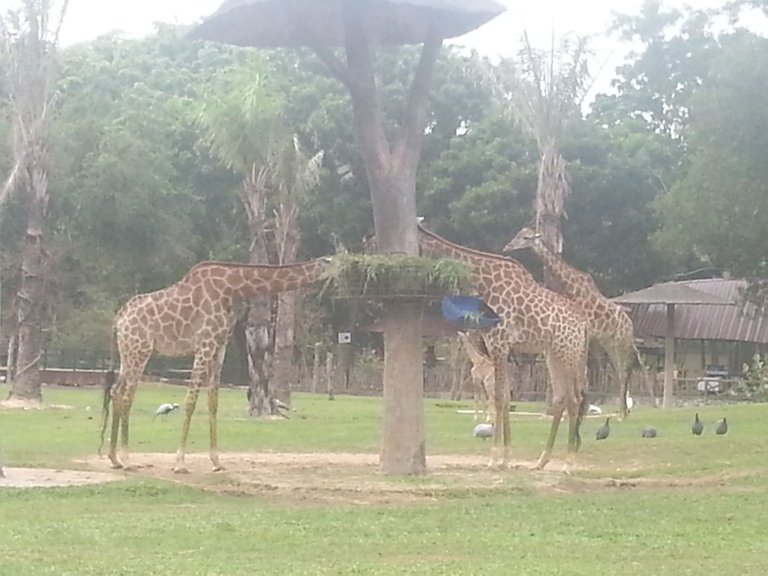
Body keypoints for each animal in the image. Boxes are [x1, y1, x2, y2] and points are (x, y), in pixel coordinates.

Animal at [100, 256, 332, 472]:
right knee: (127, 396)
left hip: (127, 353)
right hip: (140, 350)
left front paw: (217, 461)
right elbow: (191, 401)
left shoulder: (219, 346)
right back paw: (127, 460)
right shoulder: (204, 343)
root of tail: (118, 319)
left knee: (116, 391)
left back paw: (114, 458)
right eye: (333, 263)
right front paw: (180, 463)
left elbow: (213, 402)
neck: (233, 288)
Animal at [420, 223, 588, 470]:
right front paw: (506, 457)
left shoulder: (500, 344)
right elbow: (506, 397)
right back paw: (541, 461)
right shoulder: (497, 346)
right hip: (553, 354)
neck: (486, 282)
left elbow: (499, 398)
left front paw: (494, 458)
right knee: (561, 398)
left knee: (574, 399)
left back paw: (568, 463)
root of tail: (584, 325)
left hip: (569, 353)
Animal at [504, 225, 648, 418]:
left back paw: (622, 414)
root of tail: (630, 324)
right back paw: (621, 411)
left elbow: (582, 370)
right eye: (518, 235)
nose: (507, 247)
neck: (573, 288)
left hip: (621, 342)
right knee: (617, 371)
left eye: (525, 238)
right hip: (609, 343)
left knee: (623, 371)